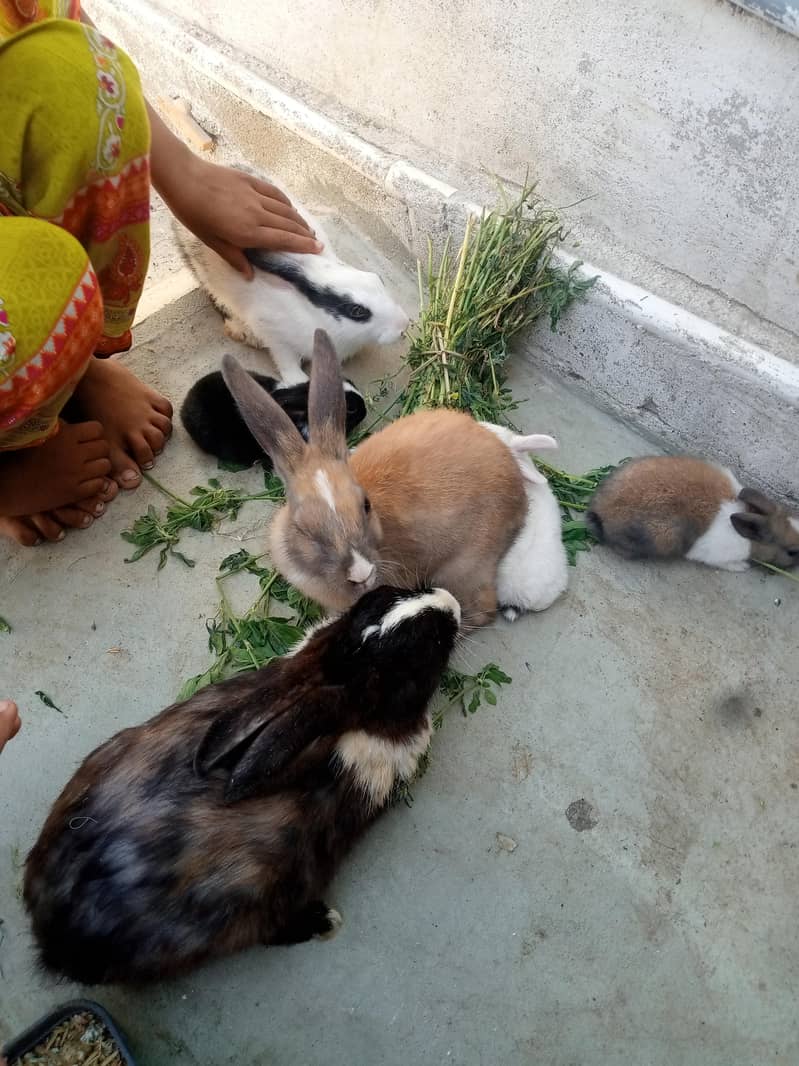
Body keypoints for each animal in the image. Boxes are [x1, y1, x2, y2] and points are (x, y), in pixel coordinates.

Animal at [174, 170, 409, 385]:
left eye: (378, 279)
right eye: (357, 311)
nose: (403, 326)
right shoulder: (274, 335)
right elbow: (285, 360)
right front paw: (297, 380)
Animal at [219, 329, 547, 628]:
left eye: (365, 505)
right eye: (303, 529)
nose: (362, 574)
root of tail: (519, 496)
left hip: (464, 568)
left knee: (482, 611)